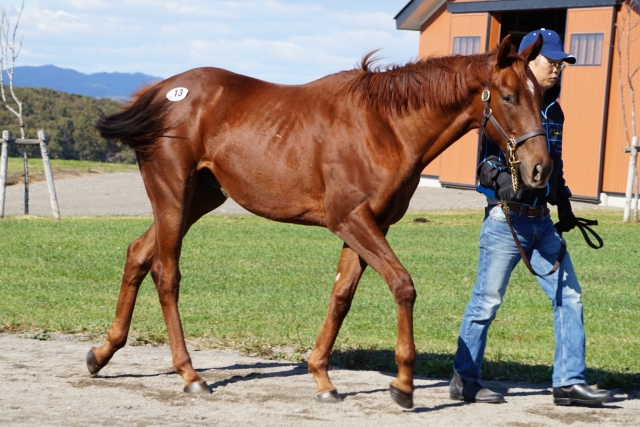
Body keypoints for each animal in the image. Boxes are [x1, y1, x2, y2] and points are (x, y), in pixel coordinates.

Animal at [89, 35, 551, 409]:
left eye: (540, 95)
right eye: (508, 97)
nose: (540, 170)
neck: (384, 126)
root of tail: (162, 91)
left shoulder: (369, 226)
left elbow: (341, 296)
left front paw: (322, 377)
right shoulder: (351, 220)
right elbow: (402, 285)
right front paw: (403, 384)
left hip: (198, 199)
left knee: (137, 254)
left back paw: (102, 353)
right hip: (172, 195)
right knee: (166, 273)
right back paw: (189, 374)